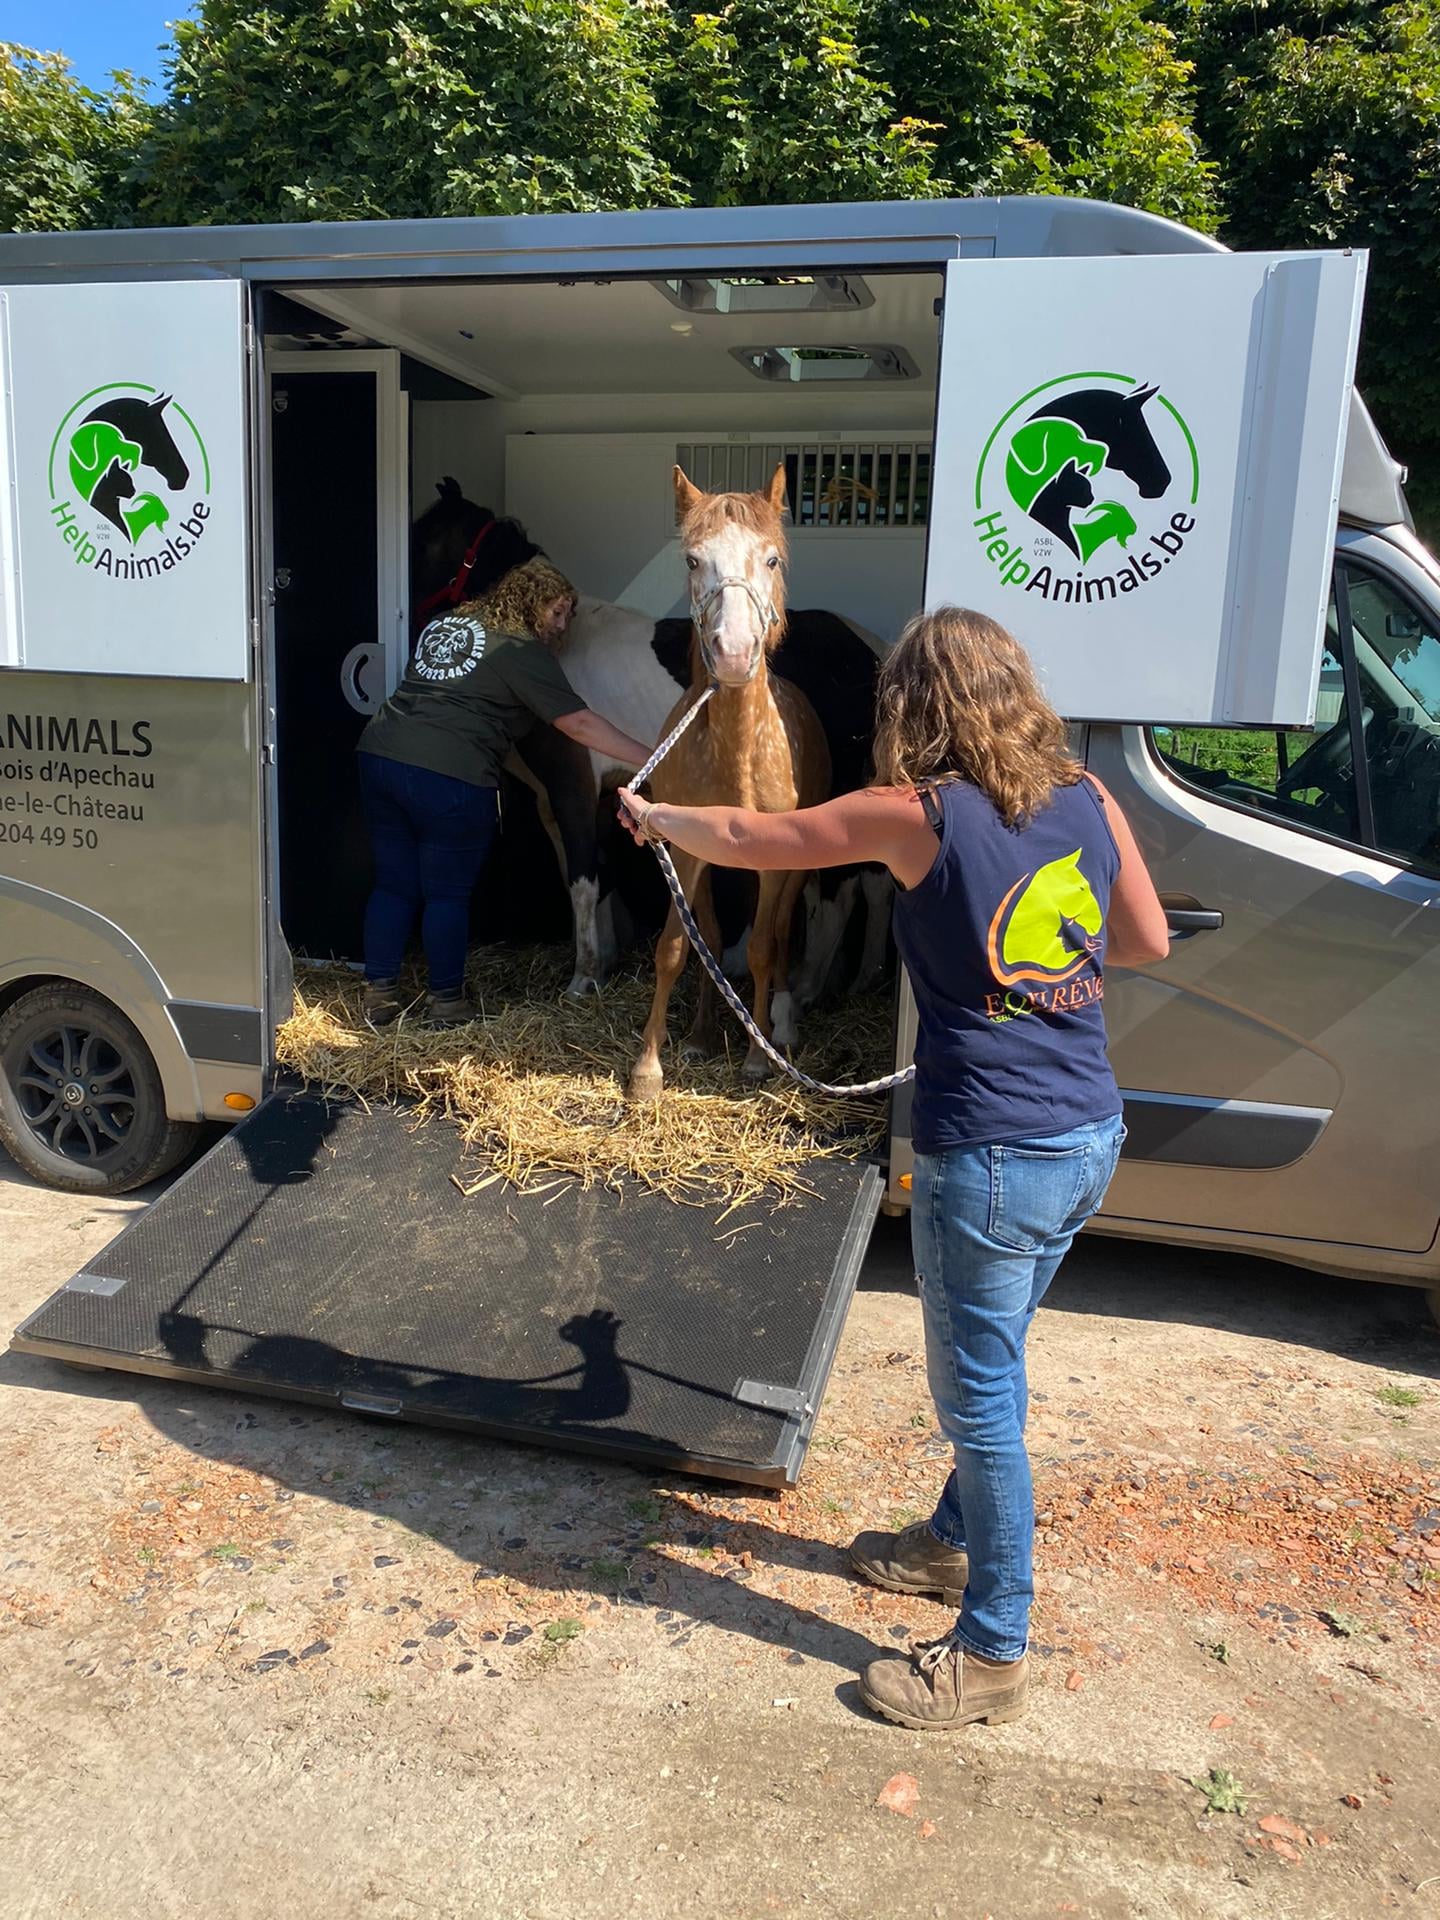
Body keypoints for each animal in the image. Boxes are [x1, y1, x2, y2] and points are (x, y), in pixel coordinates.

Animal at [410, 480, 898, 1006]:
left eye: (425, 538)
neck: (558, 648)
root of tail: (869, 650)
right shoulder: (573, 800)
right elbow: (590, 876)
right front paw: (602, 963)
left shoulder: (573, 789)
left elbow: (584, 882)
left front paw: (582, 979)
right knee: (867, 886)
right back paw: (854, 977)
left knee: (840, 892)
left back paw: (805, 988)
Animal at [629, 456, 833, 1105]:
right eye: (694, 561)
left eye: (770, 560)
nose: (736, 654)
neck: (738, 753)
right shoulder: (683, 852)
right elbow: (677, 948)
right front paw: (649, 1066)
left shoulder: (773, 866)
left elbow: (765, 949)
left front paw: (756, 1058)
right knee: (713, 942)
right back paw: (698, 1035)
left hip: (794, 872)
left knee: (782, 937)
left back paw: (777, 1030)